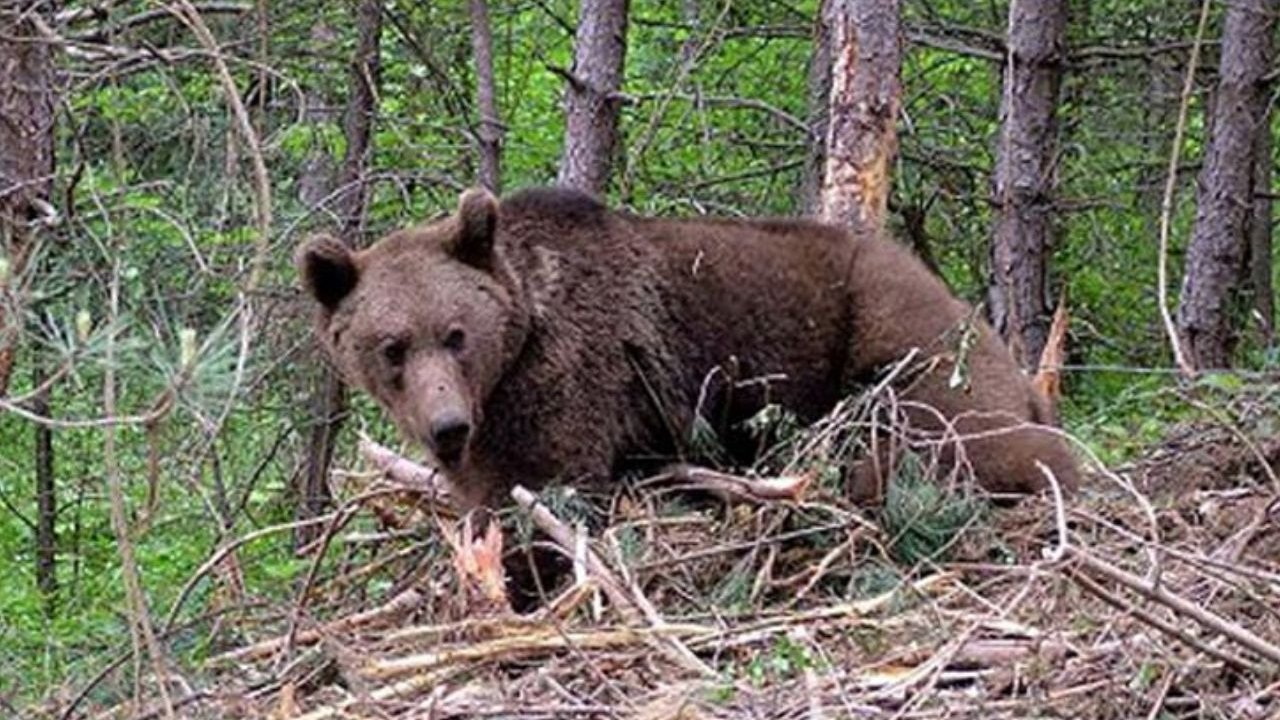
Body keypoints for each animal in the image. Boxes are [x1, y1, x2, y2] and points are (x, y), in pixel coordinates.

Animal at [302, 184, 1080, 509]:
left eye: (457, 334)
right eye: (391, 347)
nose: (446, 426)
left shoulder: (574, 375)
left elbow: (548, 485)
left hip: (902, 342)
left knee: (939, 440)